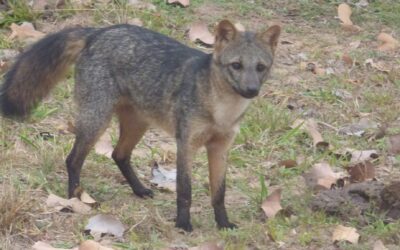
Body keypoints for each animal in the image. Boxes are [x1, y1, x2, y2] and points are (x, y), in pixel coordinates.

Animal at [0, 20, 282, 232]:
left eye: (260, 68)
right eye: (236, 66)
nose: (251, 90)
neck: (221, 110)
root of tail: (100, 31)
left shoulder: (221, 148)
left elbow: (219, 193)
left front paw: (223, 224)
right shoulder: (186, 144)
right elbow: (185, 190)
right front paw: (183, 224)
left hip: (137, 125)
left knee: (118, 154)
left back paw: (138, 190)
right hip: (96, 122)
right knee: (73, 159)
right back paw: (75, 199)